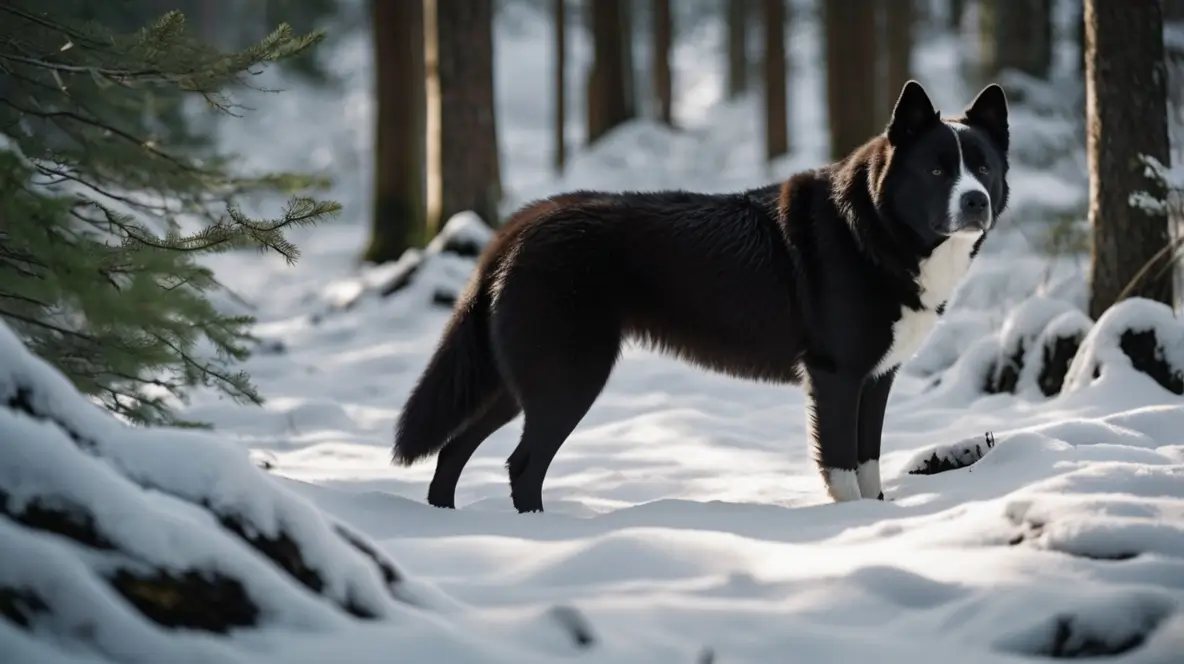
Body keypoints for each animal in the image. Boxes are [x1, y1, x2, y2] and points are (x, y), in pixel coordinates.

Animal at [395, 78, 1008, 513]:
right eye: (936, 170)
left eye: (982, 167)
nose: (976, 201)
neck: (876, 231)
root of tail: (518, 227)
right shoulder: (836, 377)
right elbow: (840, 467)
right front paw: (850, 529)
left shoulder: (877, 378)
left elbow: (869, 459)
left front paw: (879, 519)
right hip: (569, 378)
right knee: (522, 465)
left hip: (517, 381)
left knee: (454, 447)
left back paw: (441, 522)